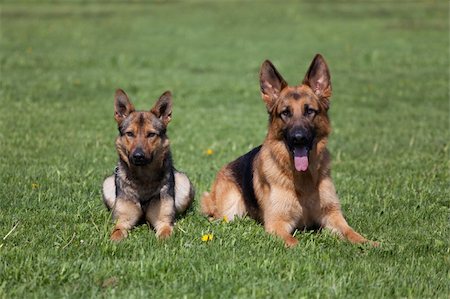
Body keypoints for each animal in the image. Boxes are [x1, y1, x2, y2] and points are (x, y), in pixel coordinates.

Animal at [102, 89, 193, 241]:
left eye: (151, 134)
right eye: (130, 134)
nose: (138, 156)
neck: (143, 178)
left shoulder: (163, 221)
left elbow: (165, 233)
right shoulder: (123, 220)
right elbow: (117, 233)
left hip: (184, 181)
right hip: (107, 184)